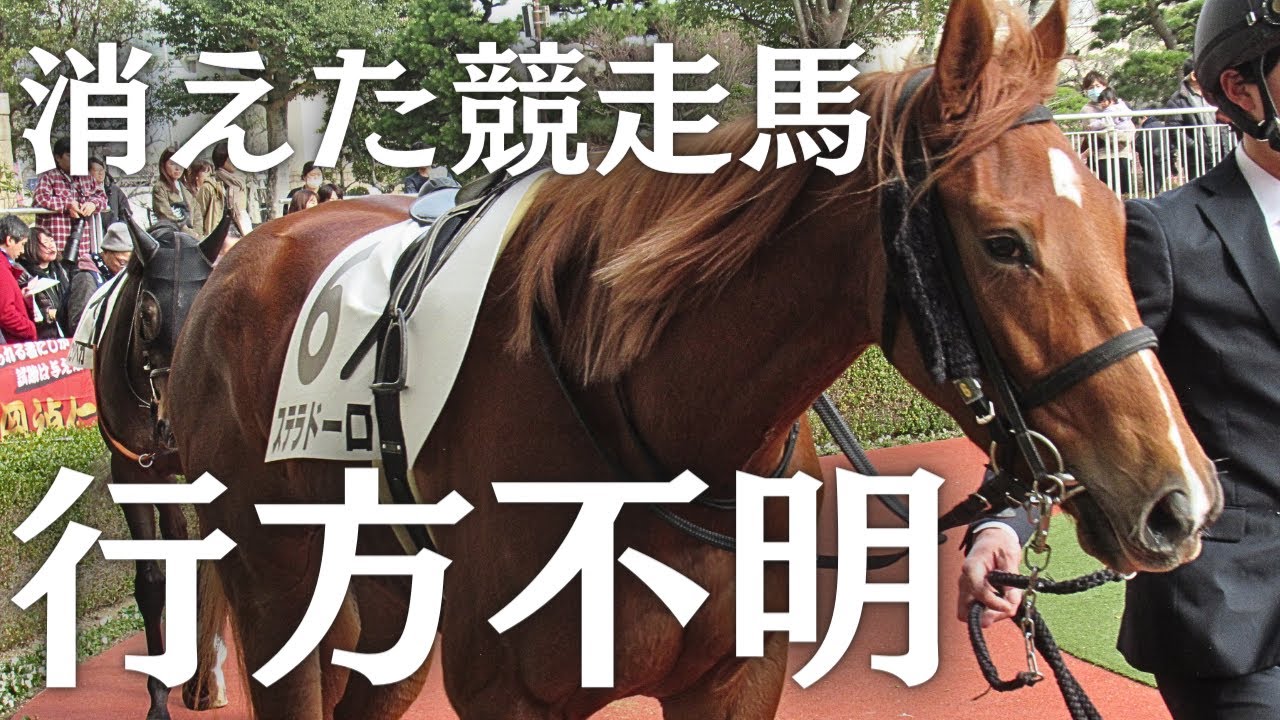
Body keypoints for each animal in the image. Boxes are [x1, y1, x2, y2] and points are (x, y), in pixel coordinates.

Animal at [89, 215, 231, 719]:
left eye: (208, 310)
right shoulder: (132, 467)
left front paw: (205, 678)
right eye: (146, 315)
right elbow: (152, 580)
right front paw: (158, 696)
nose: (175, 421)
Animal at [166, 0, 1222, 716]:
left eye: (1118, 225)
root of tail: (237, 259)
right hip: (280, 590)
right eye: (1004, 243)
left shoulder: (735, 679)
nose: (1179, 500)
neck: (652, 429)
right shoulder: (512, 696)